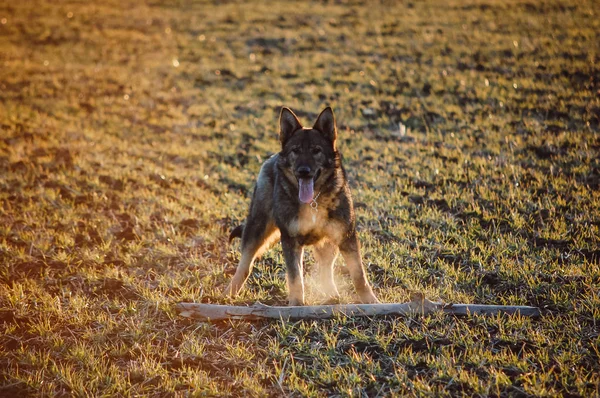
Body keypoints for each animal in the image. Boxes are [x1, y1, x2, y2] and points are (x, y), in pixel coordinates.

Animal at [225, 107, 380, 306]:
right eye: (296, 151)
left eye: (316, 151)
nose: (303, 171)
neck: (313, 201)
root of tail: (272, 158)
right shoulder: (290, 241)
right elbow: (295, 278)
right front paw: (296, 306)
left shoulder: (346, 237)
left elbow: (359, 275)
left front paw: (371, 301)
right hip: (257, 229)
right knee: (245, 265)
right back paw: (229, 292)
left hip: (329, 243)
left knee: (326, 269)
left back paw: (332, 295)